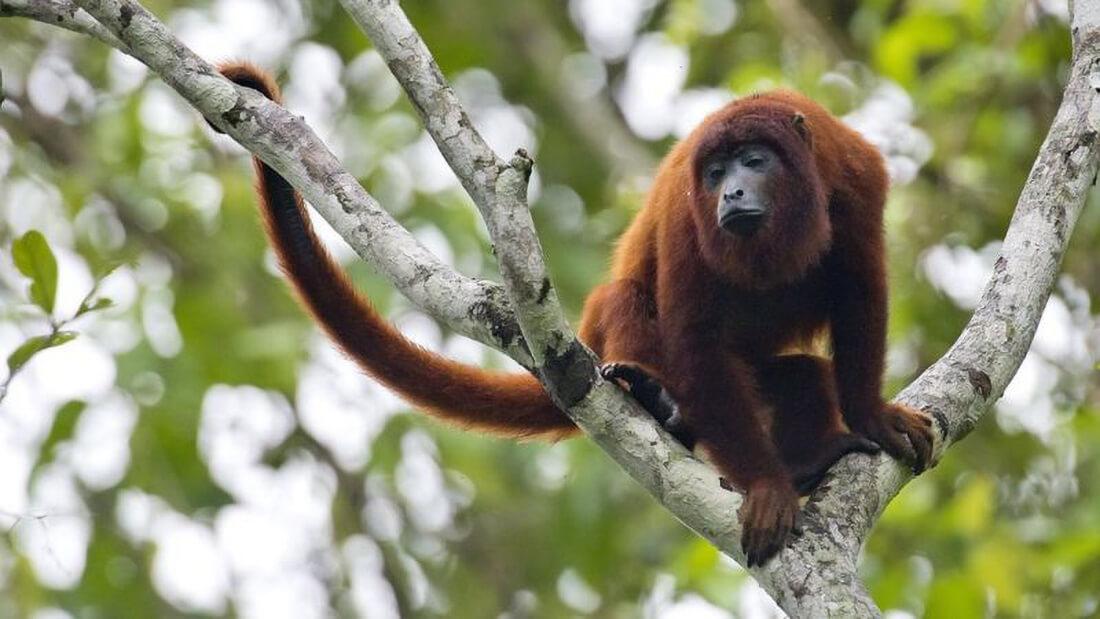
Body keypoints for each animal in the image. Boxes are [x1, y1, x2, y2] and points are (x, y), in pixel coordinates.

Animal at [211, 62, 933, 567]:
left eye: (755, 162)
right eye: (714, 173)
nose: (730, 192)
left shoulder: (857, 177)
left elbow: (862, 292)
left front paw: (871, 417)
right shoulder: (683, 214)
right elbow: (693, 332)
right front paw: (767, 487)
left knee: (806, 374)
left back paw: (806, 456)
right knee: (627, 303)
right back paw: (655, 399)